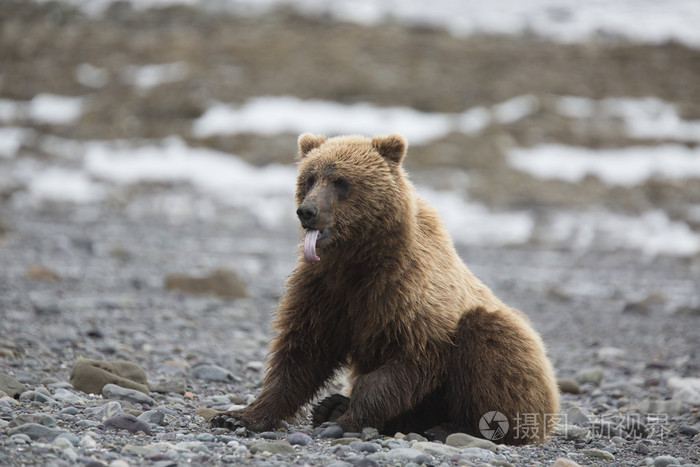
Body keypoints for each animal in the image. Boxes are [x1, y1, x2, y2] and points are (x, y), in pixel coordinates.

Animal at [211, 133, 560, 446]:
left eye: (341, 181)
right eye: (309, 178)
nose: (307, 211)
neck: (358, 261)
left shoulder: (407, 298)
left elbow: (402, 364)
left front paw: (347, 420)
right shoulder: (323, 290)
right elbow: (300, 353)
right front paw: (237, 416)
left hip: (516, 357)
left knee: (489, 342)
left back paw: (450, 427)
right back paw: (330, 405)